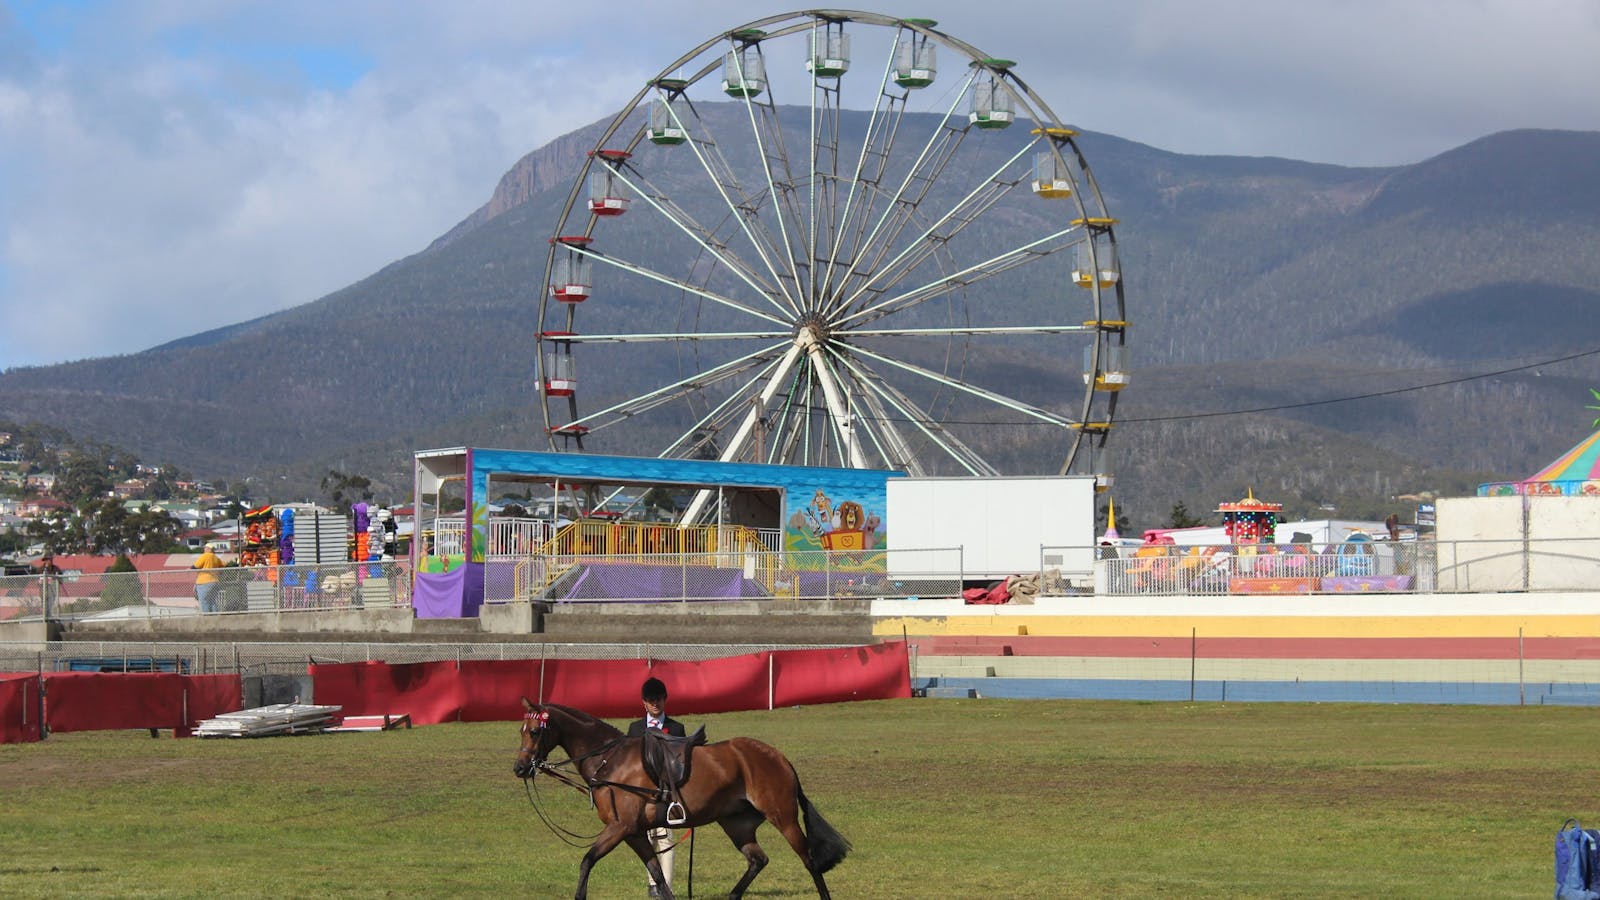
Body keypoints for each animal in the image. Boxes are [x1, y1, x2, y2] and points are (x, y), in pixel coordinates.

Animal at [515, 701, 857, 896]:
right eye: (521, 730)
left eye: (535, 731)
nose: (519, 768)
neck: (610, 759)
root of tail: (779, 757)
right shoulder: (634, 833)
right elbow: (658, 876)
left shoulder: (619, 828)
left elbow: (587, 861)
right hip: (737, 824)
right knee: (757, 860)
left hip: (783, 817)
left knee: (809, 860)